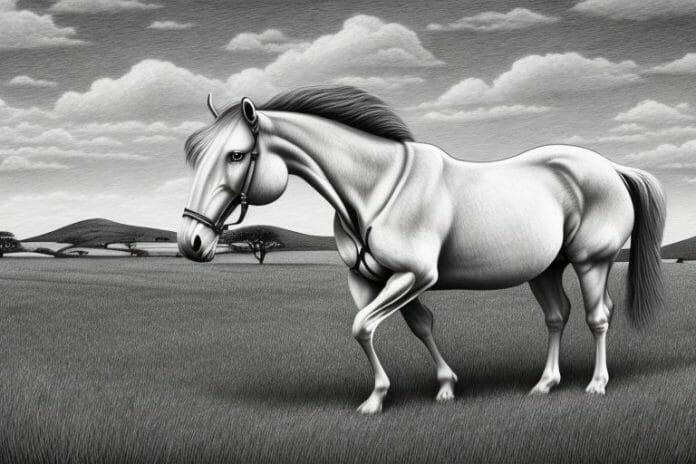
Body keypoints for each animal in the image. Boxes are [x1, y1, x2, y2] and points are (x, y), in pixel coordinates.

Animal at [178, 86, 666, 414]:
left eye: (236, 155)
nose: (191, 242)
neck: (375, 188)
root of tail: (611, 167)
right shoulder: (371, 279)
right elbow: (413, 326)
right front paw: (445, 386)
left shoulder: (414, 275)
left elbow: (363, 326)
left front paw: (375, 400)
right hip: (546, 268)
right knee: (556, 316)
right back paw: (545, 384)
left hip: (591, 262)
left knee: (597, 317)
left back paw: (597, 384)